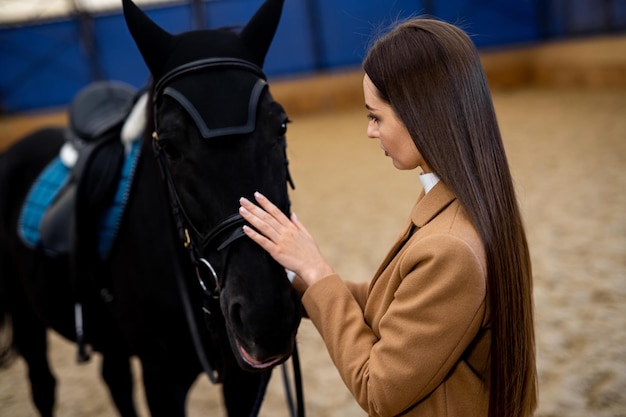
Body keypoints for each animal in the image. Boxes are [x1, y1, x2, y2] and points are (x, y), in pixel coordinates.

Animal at [0, 0, 302, 414]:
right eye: (170, 147)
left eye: (282, 126)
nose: (266, 317)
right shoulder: (162, 377)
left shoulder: (245, 379)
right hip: (25, 312)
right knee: (43, 384)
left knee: (115, 380)